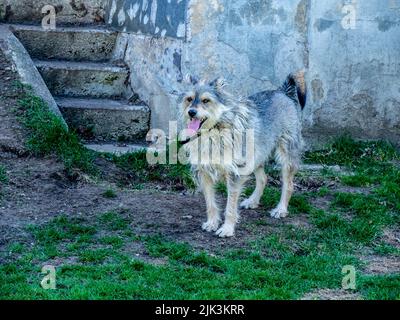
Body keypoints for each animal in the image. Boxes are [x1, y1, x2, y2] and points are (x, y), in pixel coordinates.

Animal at [178, 73, 306, 238]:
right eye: (189, 99)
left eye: (206, 100)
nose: (191, 112)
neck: (214, 131)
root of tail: (283, 91)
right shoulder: (204, 173)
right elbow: (210, 203)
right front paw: (212, 223)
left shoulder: (234, 174)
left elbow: (230, 206)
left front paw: (227, 228)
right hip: (255, 155)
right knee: (263, 178)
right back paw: (252, 201)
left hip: (286, 154)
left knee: (288, 185)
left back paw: (281, 209)